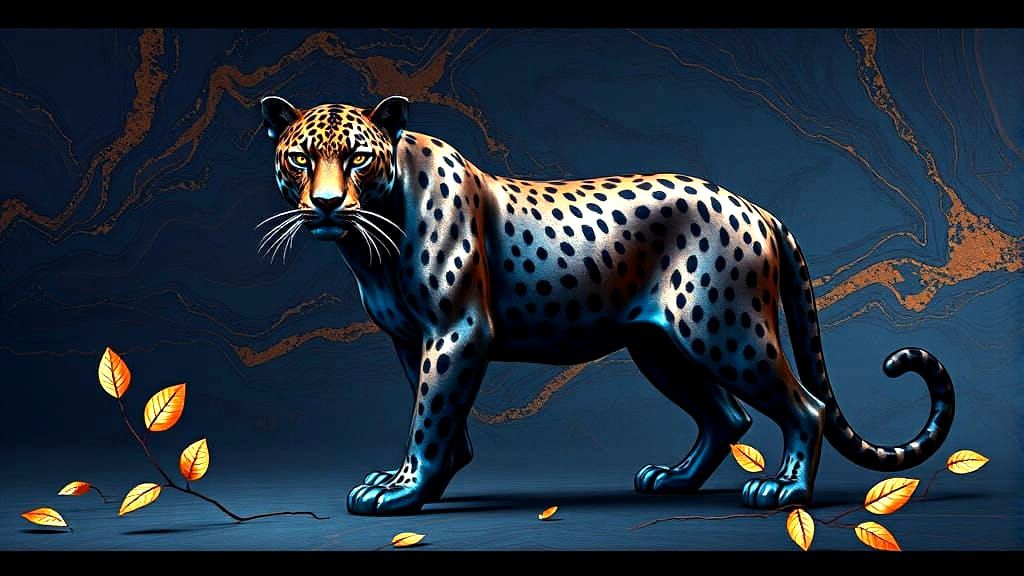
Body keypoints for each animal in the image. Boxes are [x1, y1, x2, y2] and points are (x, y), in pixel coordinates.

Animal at [258, 94, 955, 516]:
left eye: (356, 156)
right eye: (299, 156)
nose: (325, 204)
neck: (373, 238)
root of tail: (754, 205)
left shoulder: (457, 331)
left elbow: (429, 417)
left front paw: (404, 491)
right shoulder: (412, 339)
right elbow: (439, 416)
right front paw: (422, 477)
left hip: (725, 331)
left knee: (804, 407)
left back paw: (783, 489)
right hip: (661, 347)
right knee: (727, 417)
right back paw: (672, 480)